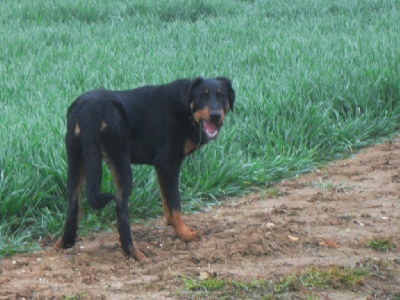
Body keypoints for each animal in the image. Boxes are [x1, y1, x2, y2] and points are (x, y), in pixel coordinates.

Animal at [53, 76, 234, 258]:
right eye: (202, 96)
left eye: (222, 96)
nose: (216, 116)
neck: (184, 106)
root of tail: (88, 111)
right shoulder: (168, 164)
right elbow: (175, 206)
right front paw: (186, 235)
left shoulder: (161, 168)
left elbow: (167, 205)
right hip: (121, 162)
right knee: (121, 208)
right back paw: (134, 253)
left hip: (76, 160)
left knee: (73, 206)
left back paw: (63, 244)